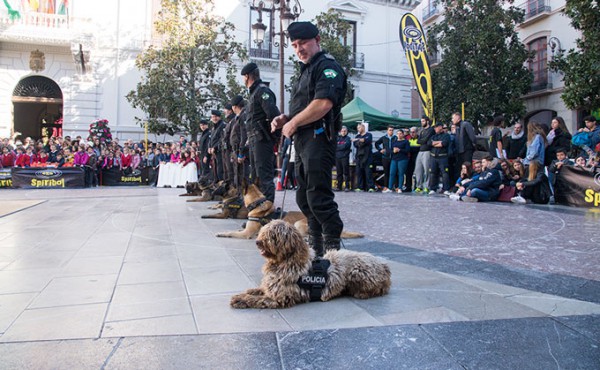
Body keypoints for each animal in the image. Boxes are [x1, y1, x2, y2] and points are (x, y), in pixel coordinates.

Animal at [217, 182, 364, 240]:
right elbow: (236, 230)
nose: (236, 195)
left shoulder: (247, 233)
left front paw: (221, 233)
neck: (258, 203)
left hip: (299, 224)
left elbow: (231, 232)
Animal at [229, 220, 390, 310]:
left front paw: (240, 299)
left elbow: (258, 299)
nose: (258, 241)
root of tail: (384, 265)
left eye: (273, 236)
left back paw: (362, 293)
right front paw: (247, 292)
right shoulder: (270, 286)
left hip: (358, 272)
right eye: (263, 232)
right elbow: (259, 290)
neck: (286, 261)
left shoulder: (280, 297)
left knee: (378, 289)